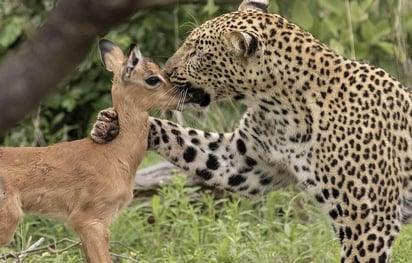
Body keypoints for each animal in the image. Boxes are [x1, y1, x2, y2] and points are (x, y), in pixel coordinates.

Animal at [91, 1, 412, 262]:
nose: (167, 72)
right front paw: (110, 123)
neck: (281, 109)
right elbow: (187, 141)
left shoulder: (368, 224)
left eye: (196, 52)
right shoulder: (244, 161)